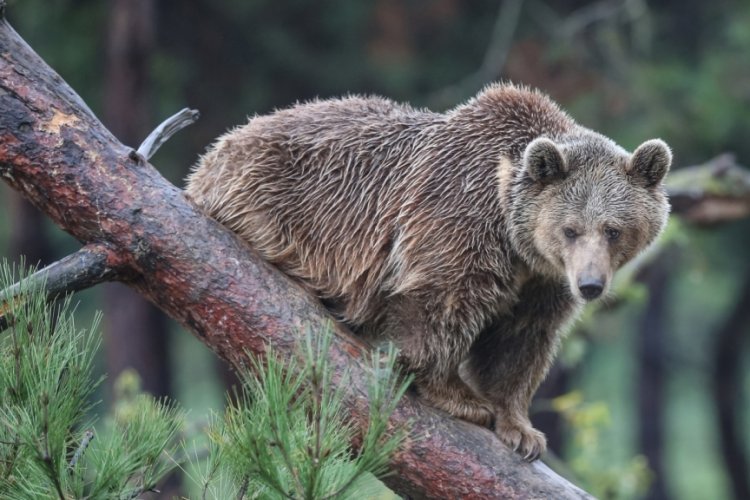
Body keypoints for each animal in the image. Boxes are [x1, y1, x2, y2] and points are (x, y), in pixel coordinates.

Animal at [185, 83, 672, 460]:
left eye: (613, 230)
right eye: (570, 229)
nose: (590, 285)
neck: (514, 236)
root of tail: (215, 152)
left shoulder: (542, 282)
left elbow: (520, 341)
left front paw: (522, 429)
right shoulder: (456, 214)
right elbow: (441, 301)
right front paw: (460, 397)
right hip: (274, 201)